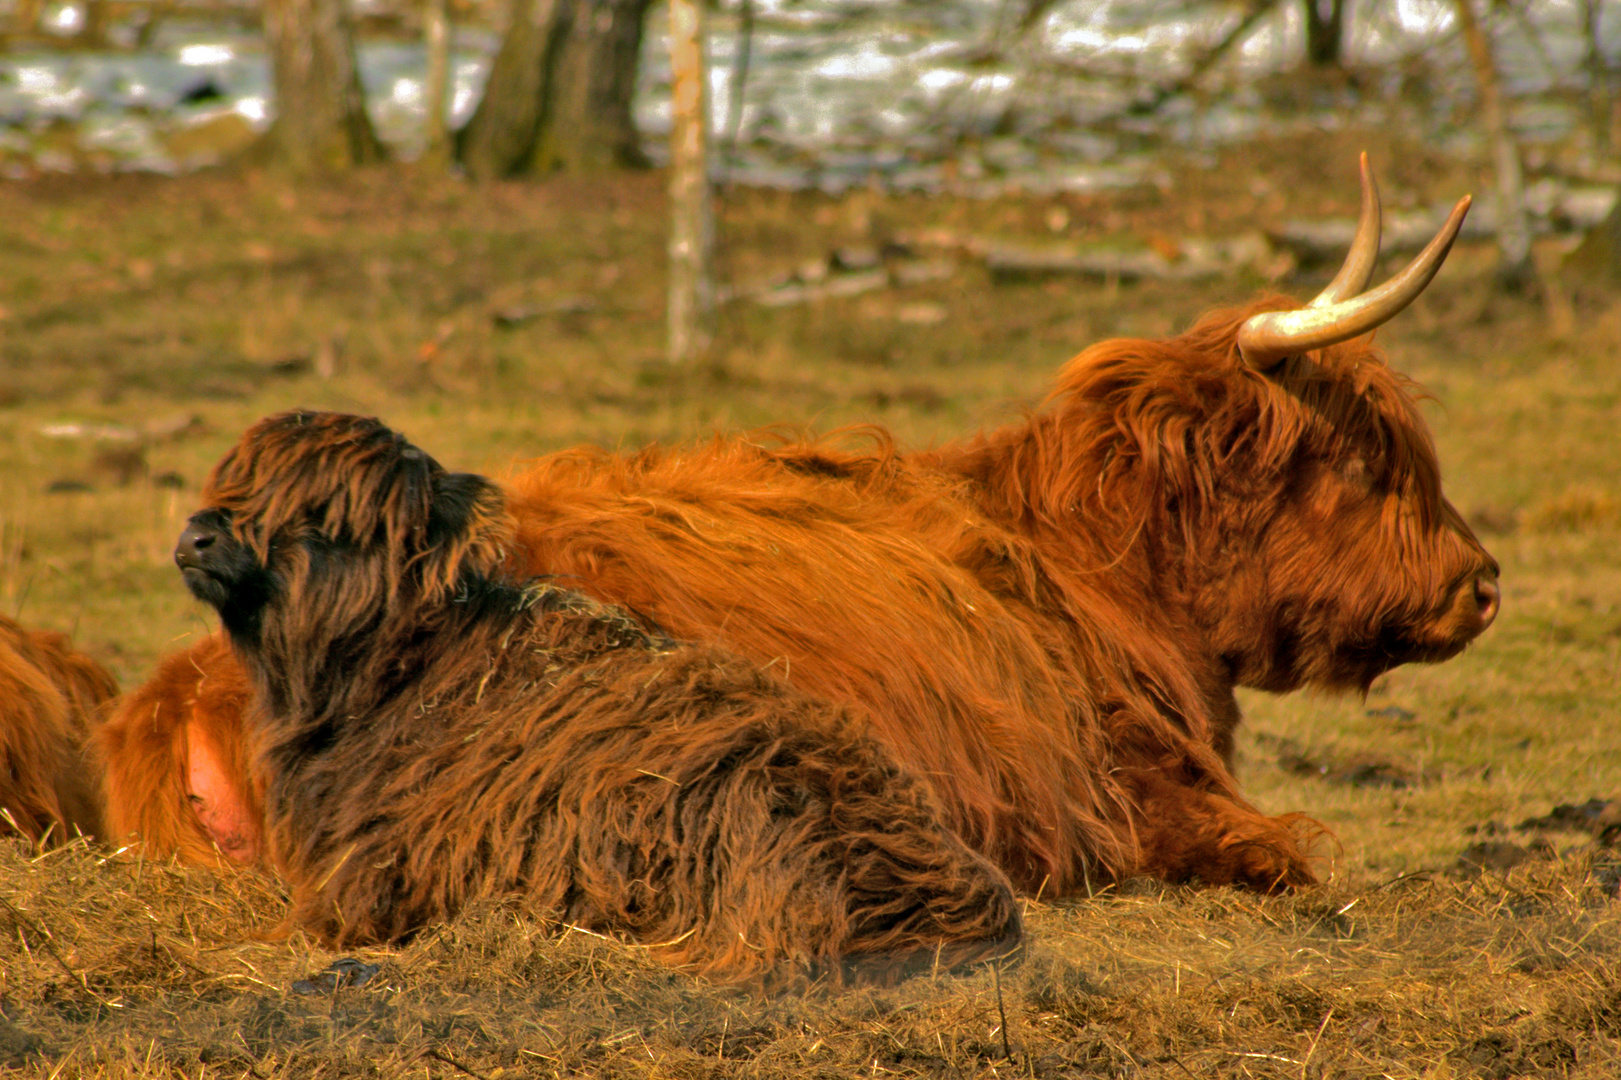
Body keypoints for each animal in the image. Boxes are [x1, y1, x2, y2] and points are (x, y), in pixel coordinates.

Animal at [94, 151, 1497, 888]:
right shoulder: (1143, 800)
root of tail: (187, 685)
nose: (1481, 580)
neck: (1090, 571)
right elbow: (1298, 852)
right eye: (1364, 461)